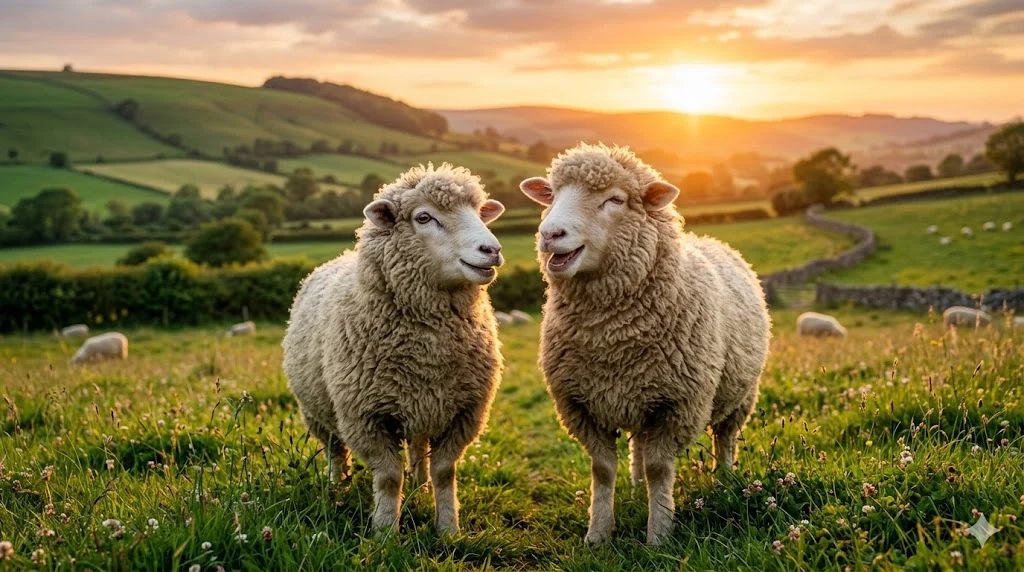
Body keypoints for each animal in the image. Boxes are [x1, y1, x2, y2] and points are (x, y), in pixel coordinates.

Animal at [282, 164, 506, 537]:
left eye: (478, 212)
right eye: (424, 217)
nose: (491, 249)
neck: (429, 347)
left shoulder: (464, 411)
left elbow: (444, 471)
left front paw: (448, 529)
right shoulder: (364, 415)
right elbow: (387, 477)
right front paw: (385, 532)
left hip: (422, 405)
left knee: (417, 448)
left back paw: (420, 487)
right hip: (316, 411)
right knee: (334, 450)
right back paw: (336, 486)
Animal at [519, 144, 771, 546]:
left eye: (615, 200)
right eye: (553, 195)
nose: (549, 233)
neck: (610, 338)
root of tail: (715, 241)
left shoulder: (677, 404)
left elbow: (658, 468)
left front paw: (659, 535)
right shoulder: (580, 404)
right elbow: (603, 470)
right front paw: (598, 534)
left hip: (741, 394)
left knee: (725, 438)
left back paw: (725, 480)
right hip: (638, 395)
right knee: (638, 445)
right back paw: (637, 492)